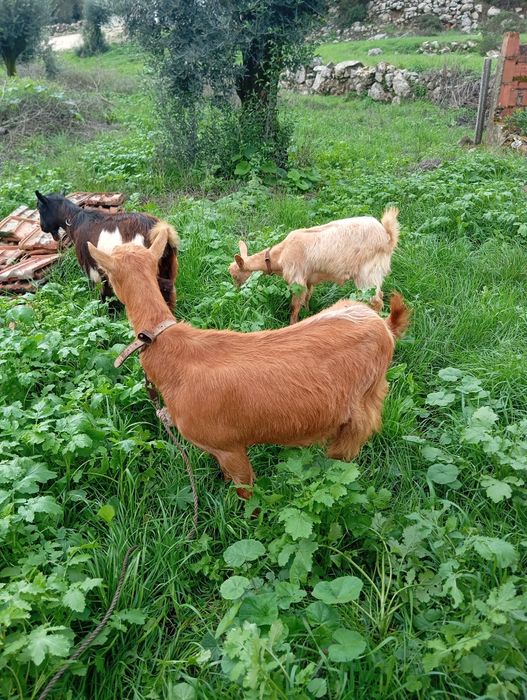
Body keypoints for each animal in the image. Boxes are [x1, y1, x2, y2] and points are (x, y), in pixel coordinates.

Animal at [35, 191, 179, 309]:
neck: (75, 221)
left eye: (40, 208)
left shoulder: (92, 268)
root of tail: (159, 231)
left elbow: (102, 291)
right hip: (168, 265)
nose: (42, 227)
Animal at [88, 231, 410, 500]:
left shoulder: (229, 446)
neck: (173, 352)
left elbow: (246, 493)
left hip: (363, 408)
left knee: (345, 456)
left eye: (106, 274)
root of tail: (384, 327)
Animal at [229, 208, 400, 324]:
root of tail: (387, 236)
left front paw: (292, 324)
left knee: (376, 300)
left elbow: (294, 306)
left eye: (235, 275)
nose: (237, 292)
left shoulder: (297, 280)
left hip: (367, 273)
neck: (280, 255)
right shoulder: (308, 279)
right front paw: (308, 314)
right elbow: (307, 299)